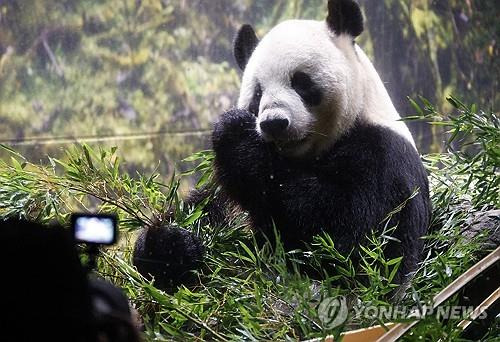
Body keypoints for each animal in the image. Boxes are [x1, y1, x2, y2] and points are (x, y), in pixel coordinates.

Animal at [133, 0, 430, 292]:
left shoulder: (385, 158)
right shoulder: (219, 193)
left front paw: (234, 134)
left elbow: (353, 243)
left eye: (301, 82)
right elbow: (192, 217)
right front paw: (173, 245)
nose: (274, 123)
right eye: (258, 93)